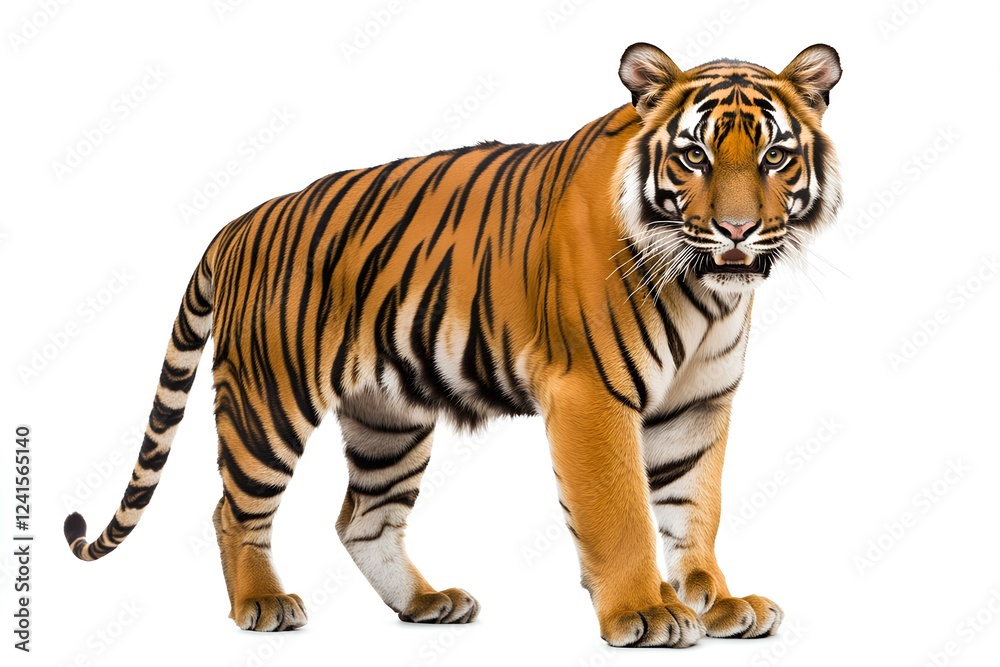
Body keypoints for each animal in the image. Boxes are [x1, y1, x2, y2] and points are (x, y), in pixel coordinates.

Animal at [63, 42, 842, 647]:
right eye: (694, 156)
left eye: (775, 155)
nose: (738, 231)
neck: (706, 291)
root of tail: (237, 224)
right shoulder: (591, 394)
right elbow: (619, 512)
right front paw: (645, 612)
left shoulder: (697, 403)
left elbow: (694, 508)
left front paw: (719, 602)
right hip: (268, 400)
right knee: (235, 510)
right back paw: (262, 603)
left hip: (389, 417)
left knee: (363, 519)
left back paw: (424, 603)